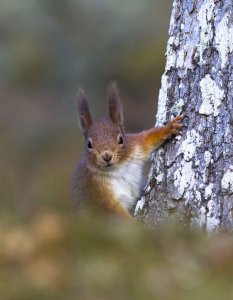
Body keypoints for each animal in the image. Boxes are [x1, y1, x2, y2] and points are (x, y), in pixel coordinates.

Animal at [72, 82, 183, 220]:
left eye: (121, 139)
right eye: (89, 144)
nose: (107, 156)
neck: (118, 168)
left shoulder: (135, 147)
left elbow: (149, 139)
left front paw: (169, 128)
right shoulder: (98, 190)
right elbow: (116, 212)